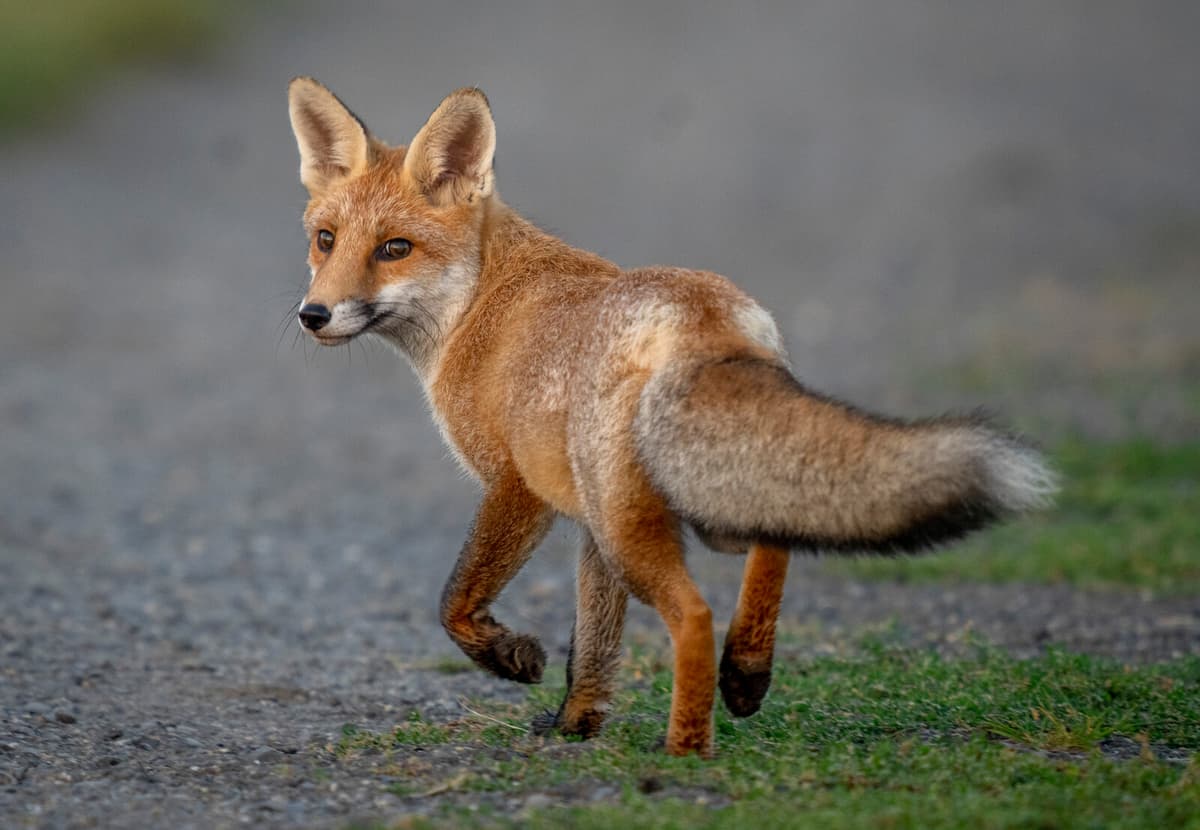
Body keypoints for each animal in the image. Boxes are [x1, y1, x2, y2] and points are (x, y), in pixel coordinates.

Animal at [286, 77, 1056, 757]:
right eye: (325, 240)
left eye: (394, 249)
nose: (312, 315)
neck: (475, 306)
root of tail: (701, 317)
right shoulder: (586, 524)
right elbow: (594, 643)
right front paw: (576, 724)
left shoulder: (517, 487)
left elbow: (455, 601)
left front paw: (512, 659)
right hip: (683, 497)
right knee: (774, 534)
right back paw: (746, 672)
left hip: (639, 524)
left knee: (694, 616)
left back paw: (688, 746)